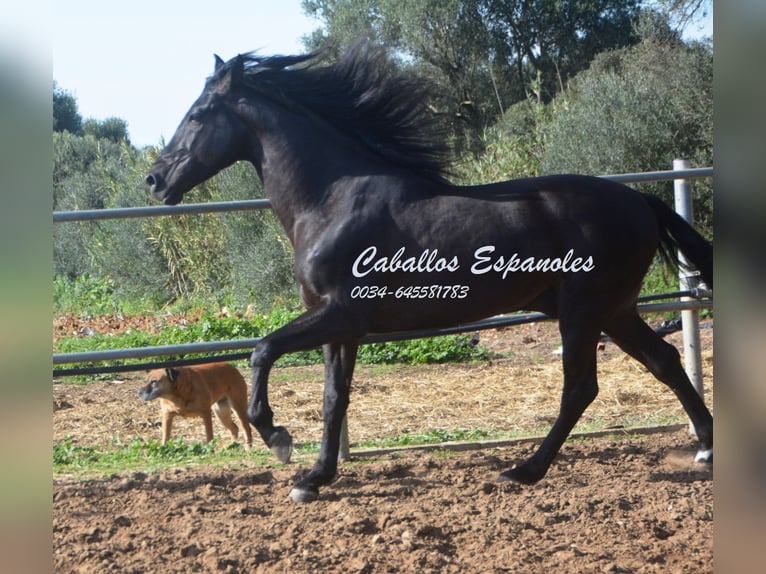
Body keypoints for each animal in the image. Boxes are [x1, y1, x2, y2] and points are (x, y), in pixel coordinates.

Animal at [148, 44, 712, 504]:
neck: (331, 201)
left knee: (581, 388)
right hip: (613, 310)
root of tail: (640, 200)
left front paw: (279, 439)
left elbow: (263, 350)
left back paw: (523, 470)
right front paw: (314, 478)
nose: (155, 180)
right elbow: (334, 400)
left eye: (198, 114)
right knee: (663, 361)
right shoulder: (339, 328)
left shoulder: (341, 316)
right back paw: (705, 448)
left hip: (583, 311)